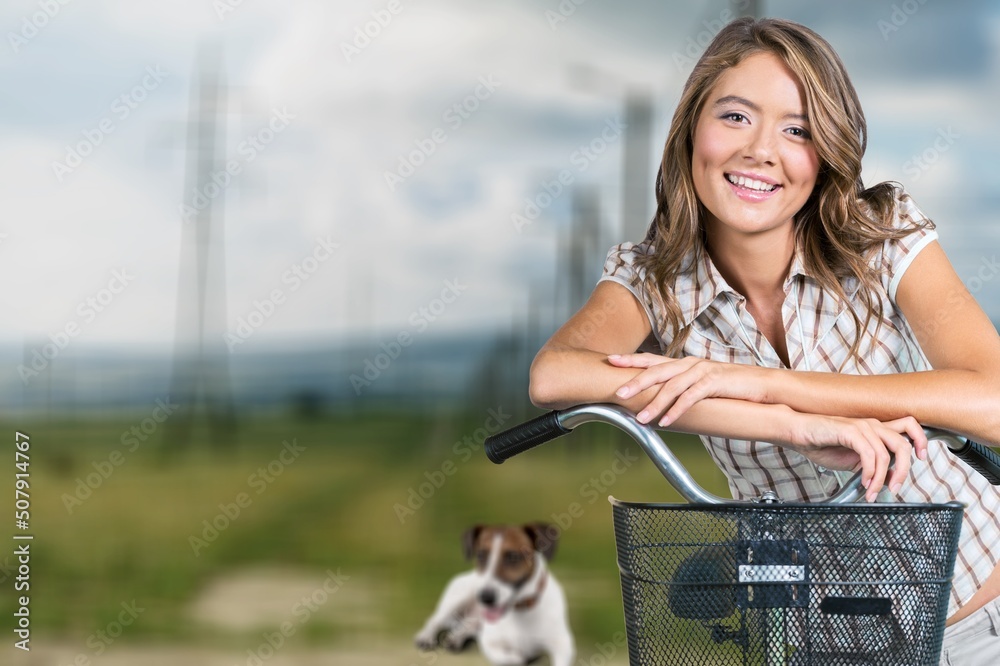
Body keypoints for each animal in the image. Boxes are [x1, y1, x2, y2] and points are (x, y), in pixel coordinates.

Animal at [414, 520, 576, 660]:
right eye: (480, 555)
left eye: (513, 556)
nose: (485, 597)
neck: (521, 610)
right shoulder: (491, 645)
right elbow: (515, 658)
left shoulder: (563, 646)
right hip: (457, 599)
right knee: (435, 620)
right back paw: (426, 637)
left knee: (467, 626)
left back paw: (456, 639)